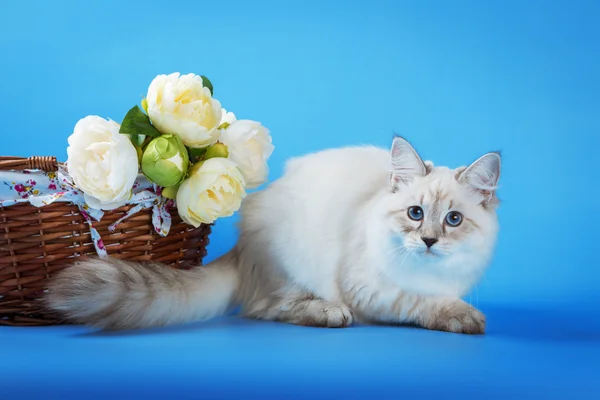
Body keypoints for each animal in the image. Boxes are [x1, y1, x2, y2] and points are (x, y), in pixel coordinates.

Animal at [45, 136, 502, 332]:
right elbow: (418, 301)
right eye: (415, 213)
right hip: (293, 263)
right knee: (265, 308)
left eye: (453, 220)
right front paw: (462, 317)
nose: (429, 241)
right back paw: (328, 313)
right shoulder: (370, 289)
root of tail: (242, 244)